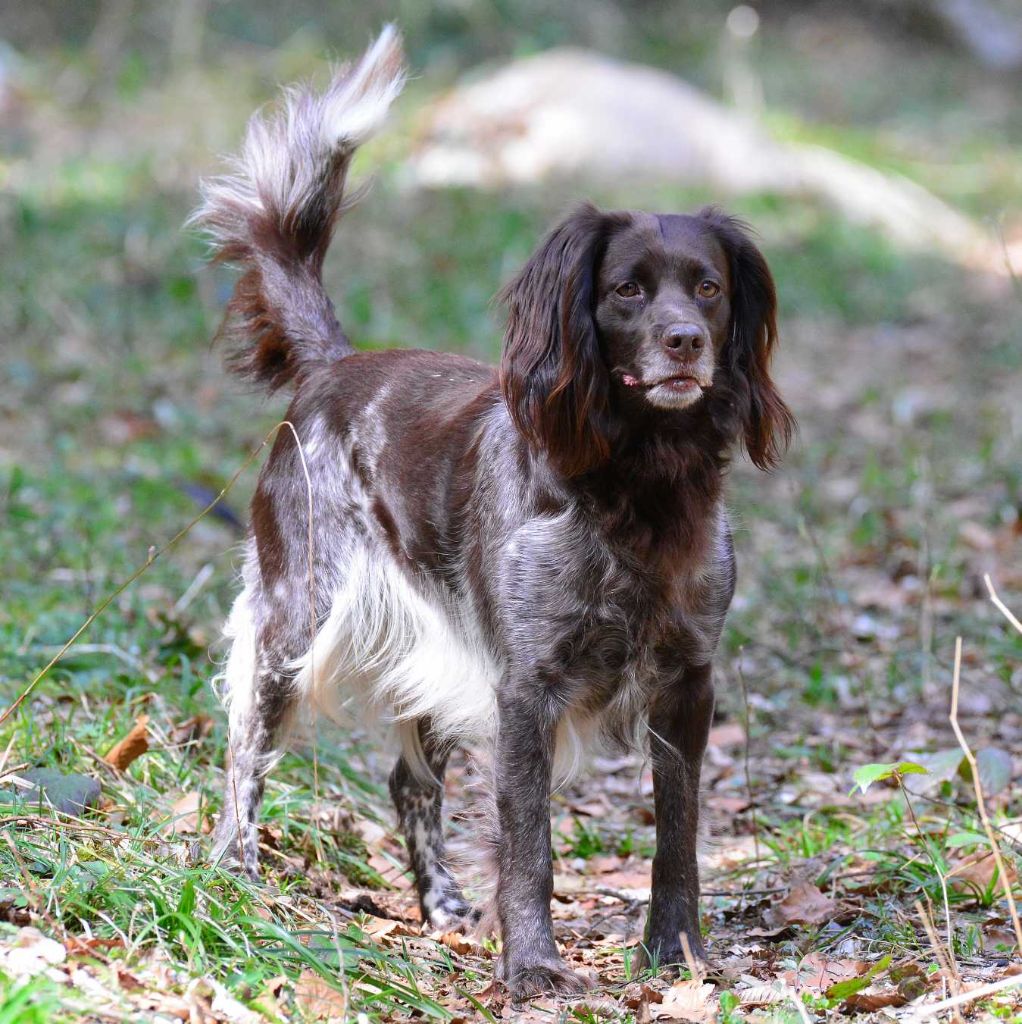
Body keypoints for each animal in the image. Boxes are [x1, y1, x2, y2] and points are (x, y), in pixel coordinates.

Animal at [193, 25, 798, 999]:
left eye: (708, 287)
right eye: (627, 290)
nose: (685, 344)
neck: (637, 485)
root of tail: (335, 365)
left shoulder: (686, 681)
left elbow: (678, 837)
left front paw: (677, 952)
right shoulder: (526, 686)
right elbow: (529, 846)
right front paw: (535, 965)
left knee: (409, 785)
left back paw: (441, 907)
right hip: (296, 618)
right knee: (247, 747)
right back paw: (234, 870)